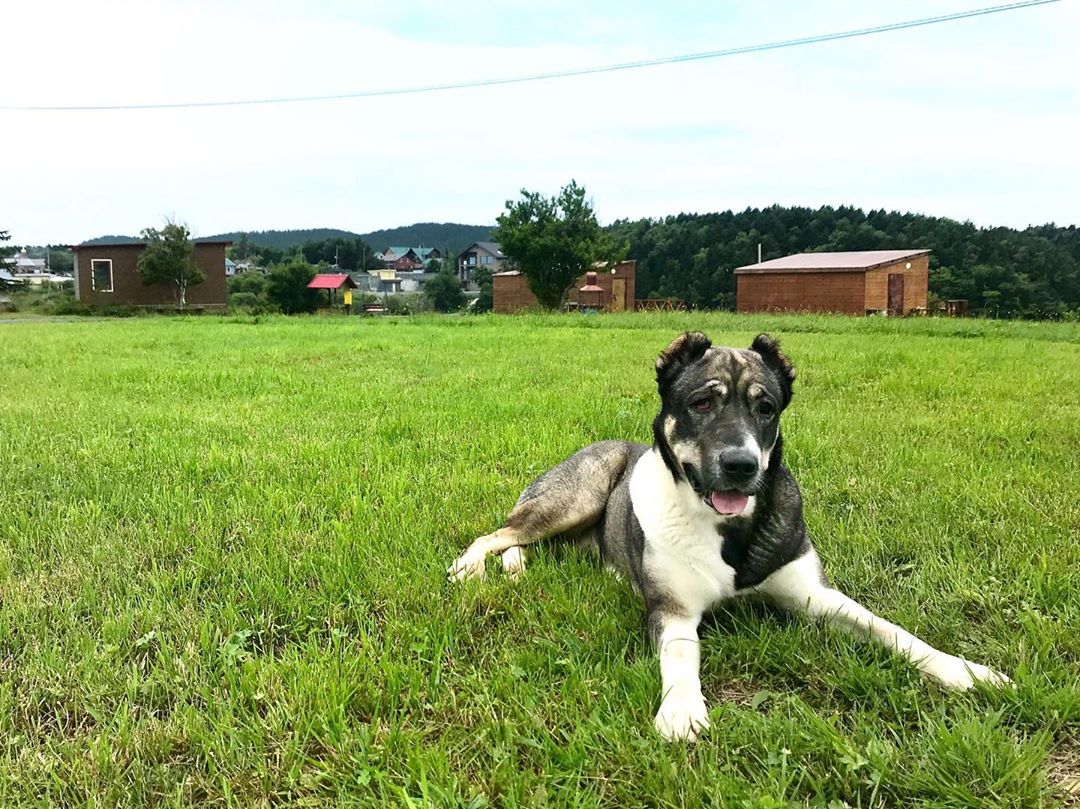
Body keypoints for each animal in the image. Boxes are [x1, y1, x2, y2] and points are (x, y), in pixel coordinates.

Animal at [442, 330, 1006, 738]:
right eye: (701, 404)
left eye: (766, 407)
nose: (740, 465)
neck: (727, 529)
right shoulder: (672, 609)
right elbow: (680, 654)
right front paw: (682, 711)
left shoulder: (815, 595)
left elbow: (888, 629)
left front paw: (966, 672)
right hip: (574, 496)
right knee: (499, 533)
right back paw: (469, 567)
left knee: (519, 543)